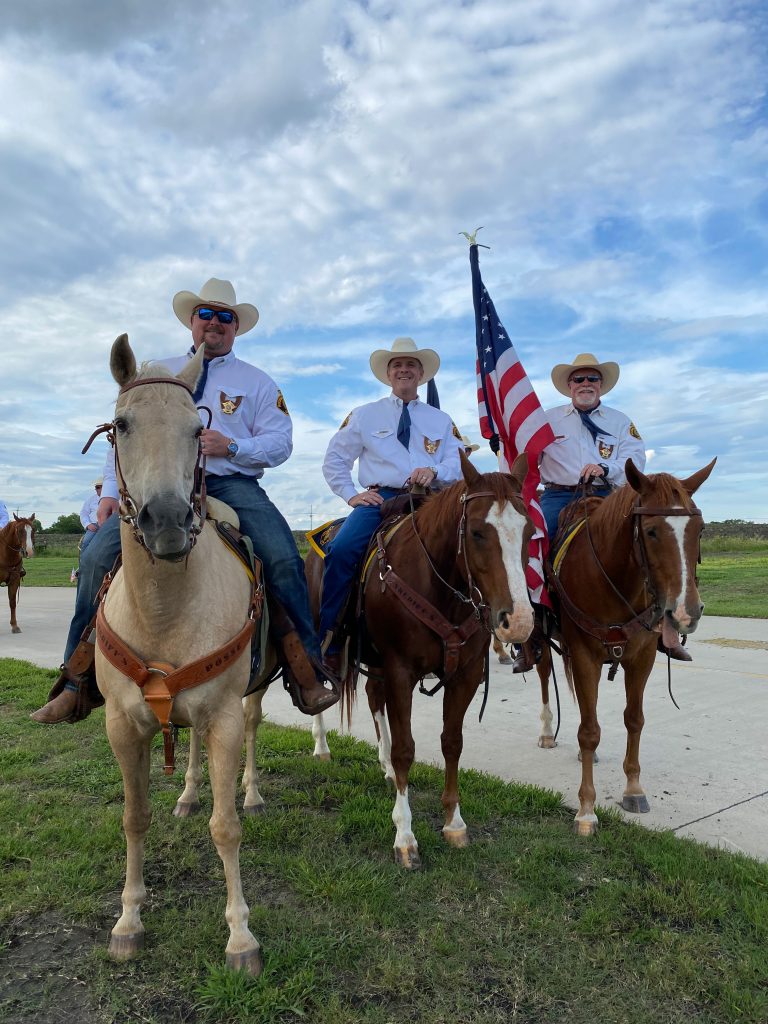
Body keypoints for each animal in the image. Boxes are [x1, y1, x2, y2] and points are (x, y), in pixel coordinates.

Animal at [307, 454, 536, 864]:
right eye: (477, 532)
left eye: (528, 533)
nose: (519, 622)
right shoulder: (401, 673)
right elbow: (406, 749)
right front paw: (405, 835)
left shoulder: (465, 676)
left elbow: (452, 742)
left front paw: (454, 823)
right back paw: (321, 747)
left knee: (373, 698)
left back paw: (381, 765)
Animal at [532, 460, 720, 835]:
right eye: (650, 531)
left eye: (700, 529)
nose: (687, 612)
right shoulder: (586, 656)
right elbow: (589, 731)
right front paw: (586, 809)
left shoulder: (641, 657)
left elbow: (634, 719)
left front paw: (634, 790)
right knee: (545, 673)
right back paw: (547, 731)